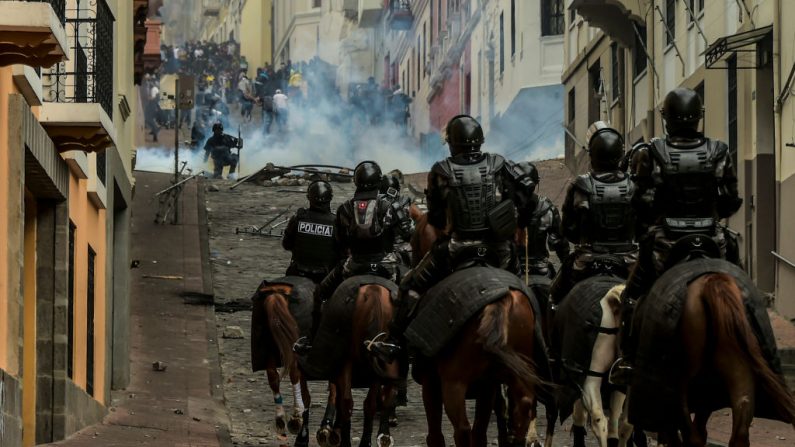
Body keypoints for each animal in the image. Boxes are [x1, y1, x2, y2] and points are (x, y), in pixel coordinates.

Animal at [624, 260, 795, 447]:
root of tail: (712, 282)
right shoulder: (707, 394)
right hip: (737, 372)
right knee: (739, 426)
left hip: (682, 382)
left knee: (689, 432)